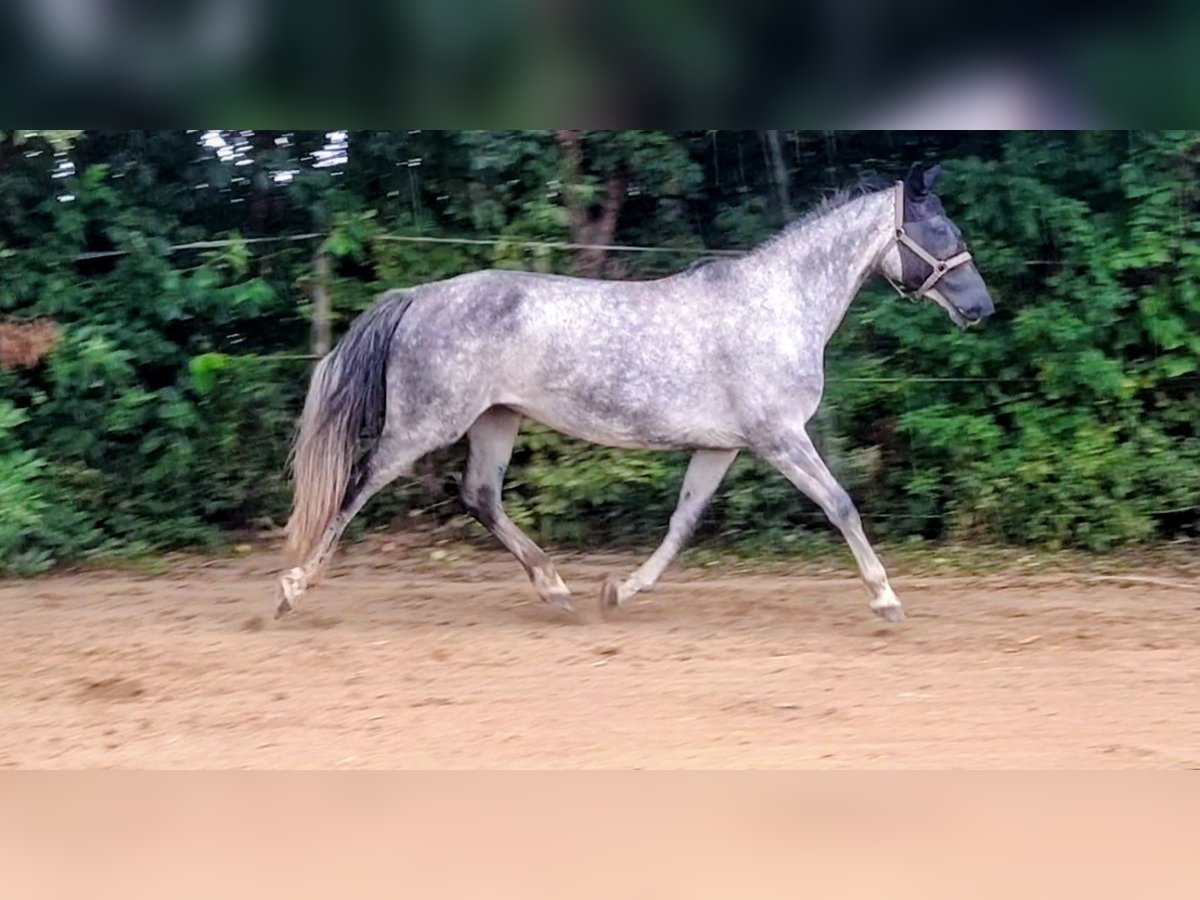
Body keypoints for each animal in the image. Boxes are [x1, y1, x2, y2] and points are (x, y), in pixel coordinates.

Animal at [276, 161, 994, 623]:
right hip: (425, 425)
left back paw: (557, 589)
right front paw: (886, 599)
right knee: (358, 485)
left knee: (479, 497)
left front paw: (619, 591)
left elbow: (682, 522)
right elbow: (841, 504)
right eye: (942, 233)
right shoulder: (779, 437)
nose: (981, 308)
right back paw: (292, 586)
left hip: (496, 421)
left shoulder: (721, 447)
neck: (779, 305)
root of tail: (420, 296)